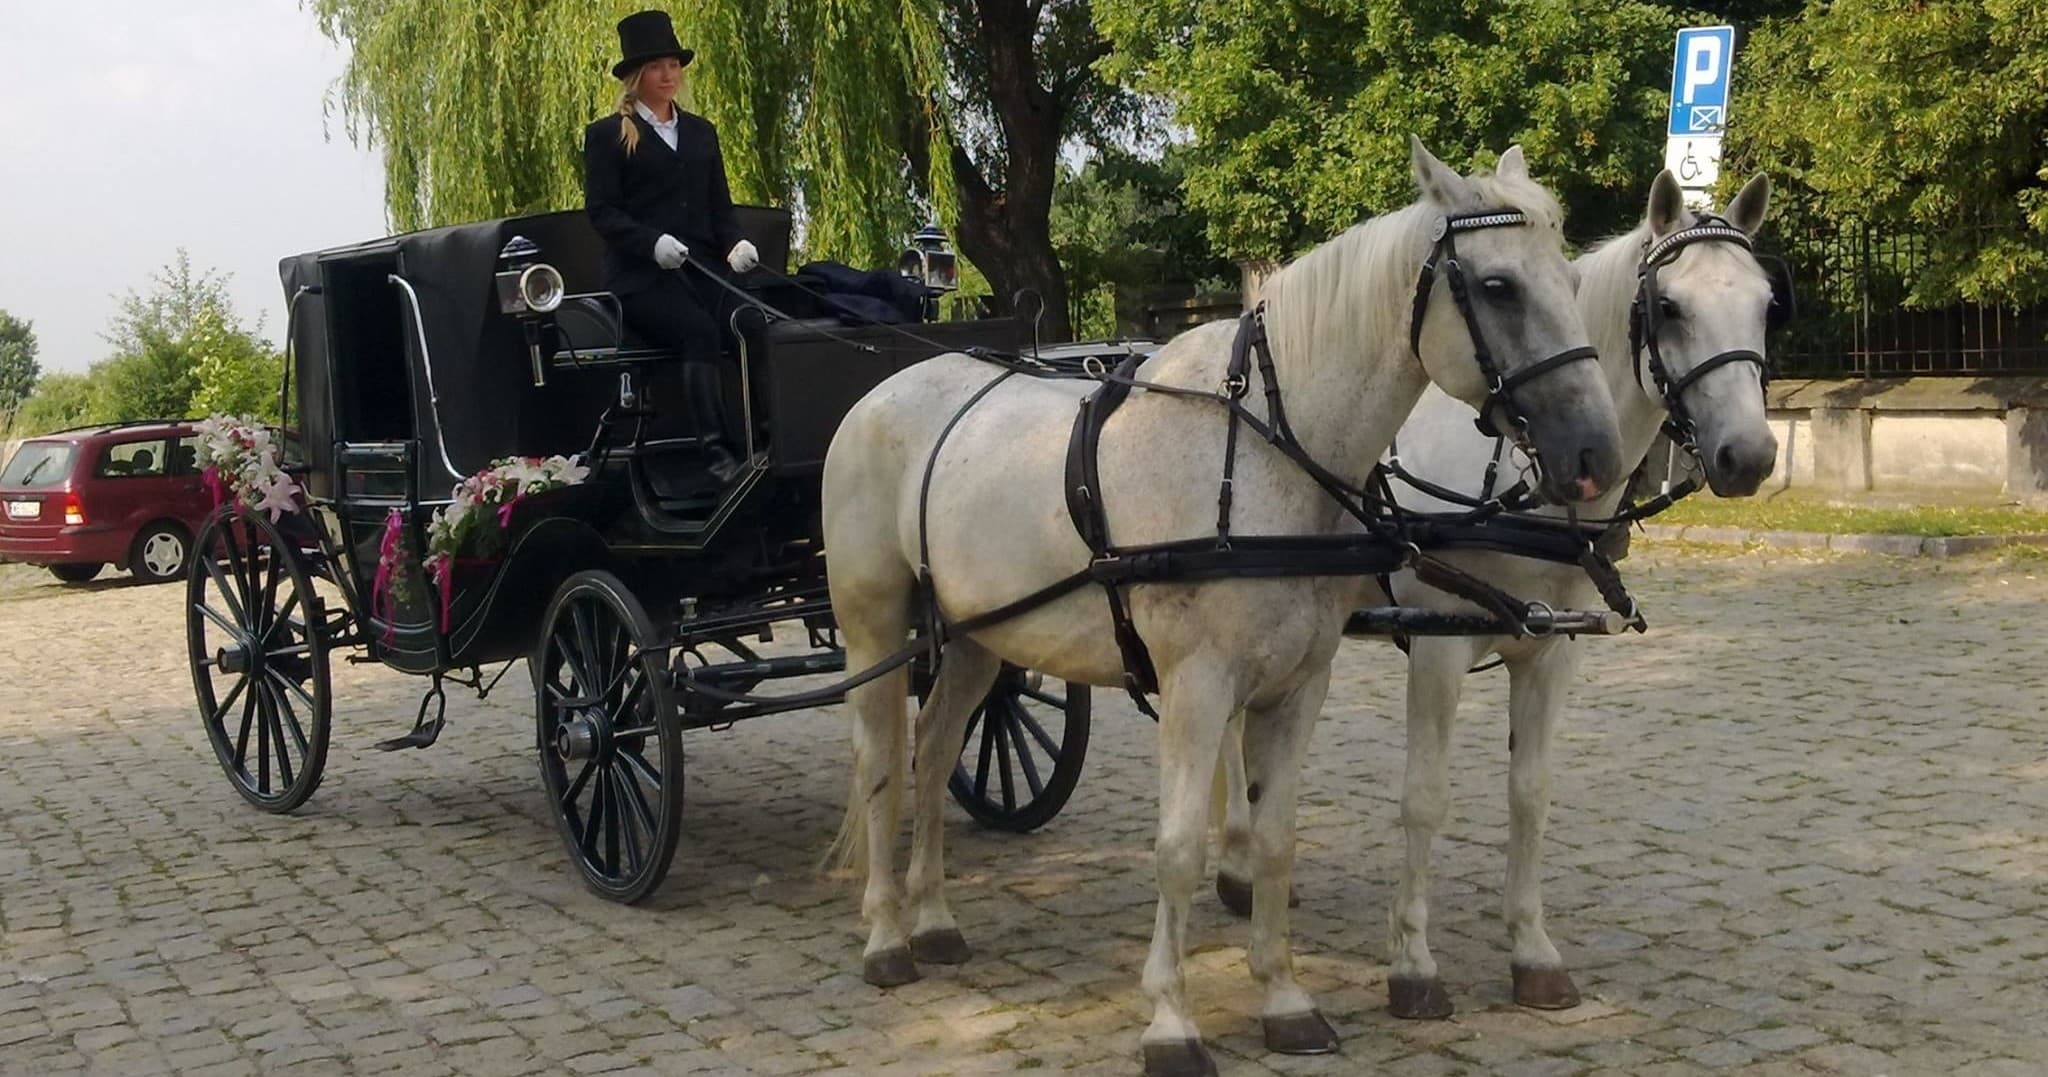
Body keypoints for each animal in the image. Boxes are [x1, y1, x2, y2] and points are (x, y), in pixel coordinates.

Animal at [819, 138, 1624, 1076]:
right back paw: (886, 936)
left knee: (937, 747)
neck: (1266, 449)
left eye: (1570, 280)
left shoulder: (1299, 684)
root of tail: (885, 390)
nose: (1595, 454)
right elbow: (1177, 849)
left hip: (981, 636)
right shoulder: (1197, 688)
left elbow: (1274, 839)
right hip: (873, 624)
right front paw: (1172, 1020)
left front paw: (1282, 997)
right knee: (880, 764)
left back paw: (936, 919)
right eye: (1498, 286)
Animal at [1211, 169, 1782, 1021]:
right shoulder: (1438, 648)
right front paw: (1413, 961)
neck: (1522, 480)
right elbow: (1424, 797)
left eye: (1767, 304)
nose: (1748, 455)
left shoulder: (1550, 651)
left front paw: (1531, 949)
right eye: (1671, 307)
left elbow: (1530, 794)